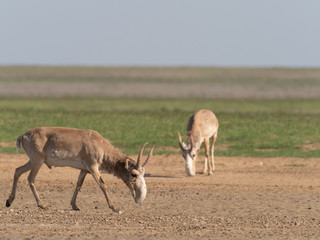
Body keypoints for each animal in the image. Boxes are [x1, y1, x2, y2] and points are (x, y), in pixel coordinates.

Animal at [5, 126, 155, 213]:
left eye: (143, 174)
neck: (99, 144)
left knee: (17, 171)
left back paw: (9, 201)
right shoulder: (93, 167)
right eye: (134, 174)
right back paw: (42, 205)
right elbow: (103, 185)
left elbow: (78, 185)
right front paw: (114, 207)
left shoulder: (84, 170)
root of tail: (23, 135)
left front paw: (74, 205)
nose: (140, 198)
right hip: (37, 161)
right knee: (30, 178)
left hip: (33, 161)